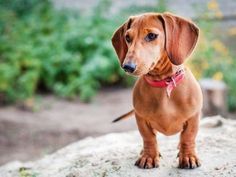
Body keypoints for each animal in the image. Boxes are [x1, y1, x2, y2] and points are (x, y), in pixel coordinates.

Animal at [111, 12, 202, 169]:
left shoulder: (193, 117)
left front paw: (188, 156)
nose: (127, 66)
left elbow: (188, 137)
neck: (164, 83)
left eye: (152, 36)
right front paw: (149, 156)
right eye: (127, 37)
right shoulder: (141, 118)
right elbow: (148, 138)